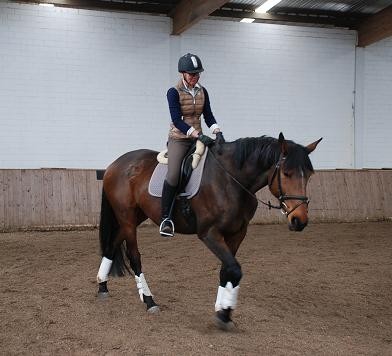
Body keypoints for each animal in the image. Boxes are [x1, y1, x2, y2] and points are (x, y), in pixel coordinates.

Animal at [95, 132, 322, 330]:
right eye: (286, 173)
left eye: (310, 175)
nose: (299, 220)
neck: (231, 180)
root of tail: (115, 164)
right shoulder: (209, 233)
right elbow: (234, 269)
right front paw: (224, 314)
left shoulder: (237, 233)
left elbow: (228, 270)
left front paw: (223, 310)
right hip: (127, 218)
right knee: (134, 257)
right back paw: (149, 301)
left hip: (133, 218)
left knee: (111, 246)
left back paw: (102, 287)